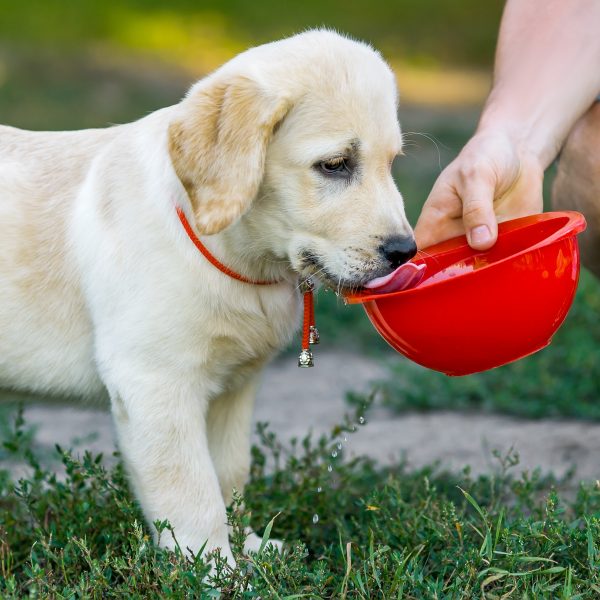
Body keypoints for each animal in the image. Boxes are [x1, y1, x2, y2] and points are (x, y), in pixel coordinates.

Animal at [0, 29, 412, 564]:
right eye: (335, 165)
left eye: (392, 163)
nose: (405, 251)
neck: (235, 256)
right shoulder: (155, 383)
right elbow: (192, 492)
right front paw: (214, 569)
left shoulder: (233, 388)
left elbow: (229, 475)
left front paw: (250, 547)